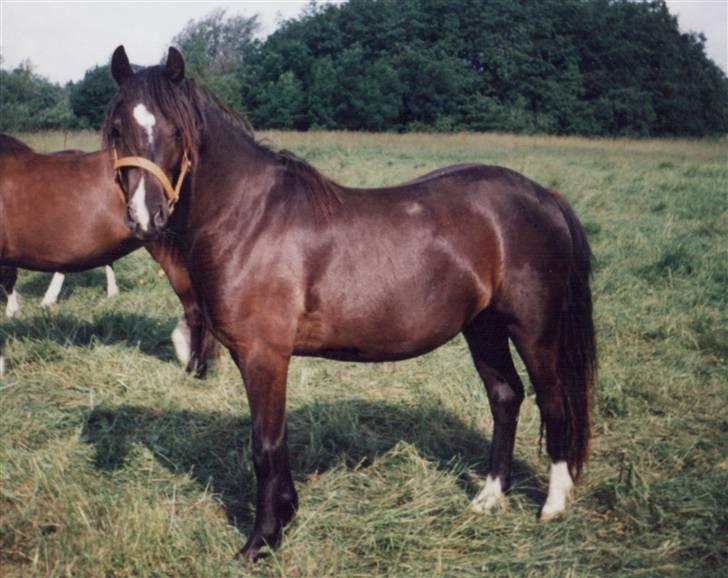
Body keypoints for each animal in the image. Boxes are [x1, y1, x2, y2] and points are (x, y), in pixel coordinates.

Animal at [106, 45, 596, 561]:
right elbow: (274, 441)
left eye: (176, 131)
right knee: (506, 396)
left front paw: (262, 540)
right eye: (117, 128)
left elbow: (265, 444)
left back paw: (553, 504)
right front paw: (284, 516)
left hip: (534, 331)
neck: (249, 217)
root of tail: (544, 196)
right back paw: (488, 497)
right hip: (483, 326)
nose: (145, 217)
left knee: (554, 402)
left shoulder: (264, 356)